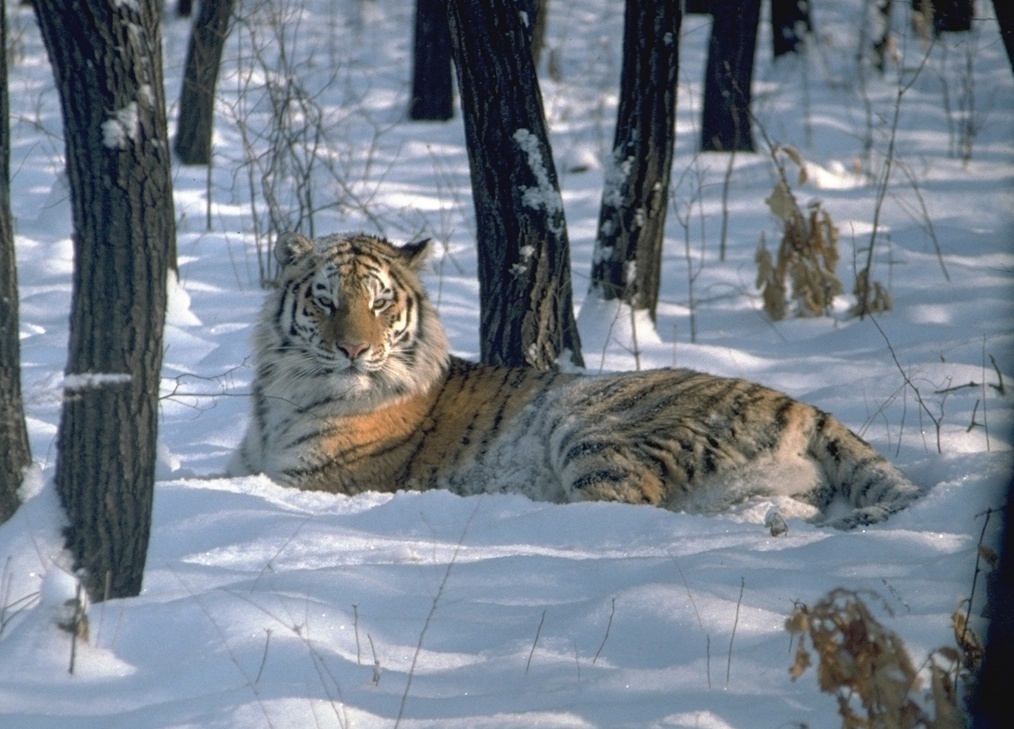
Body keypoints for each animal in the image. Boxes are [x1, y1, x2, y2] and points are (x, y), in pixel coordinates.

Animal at [232, 234, 928, 531]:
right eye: (325, 300)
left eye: (379, 304)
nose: (354, 349)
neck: (282, 394)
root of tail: (799, 405)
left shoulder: (313, 477)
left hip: (591, 430)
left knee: (627, 510)